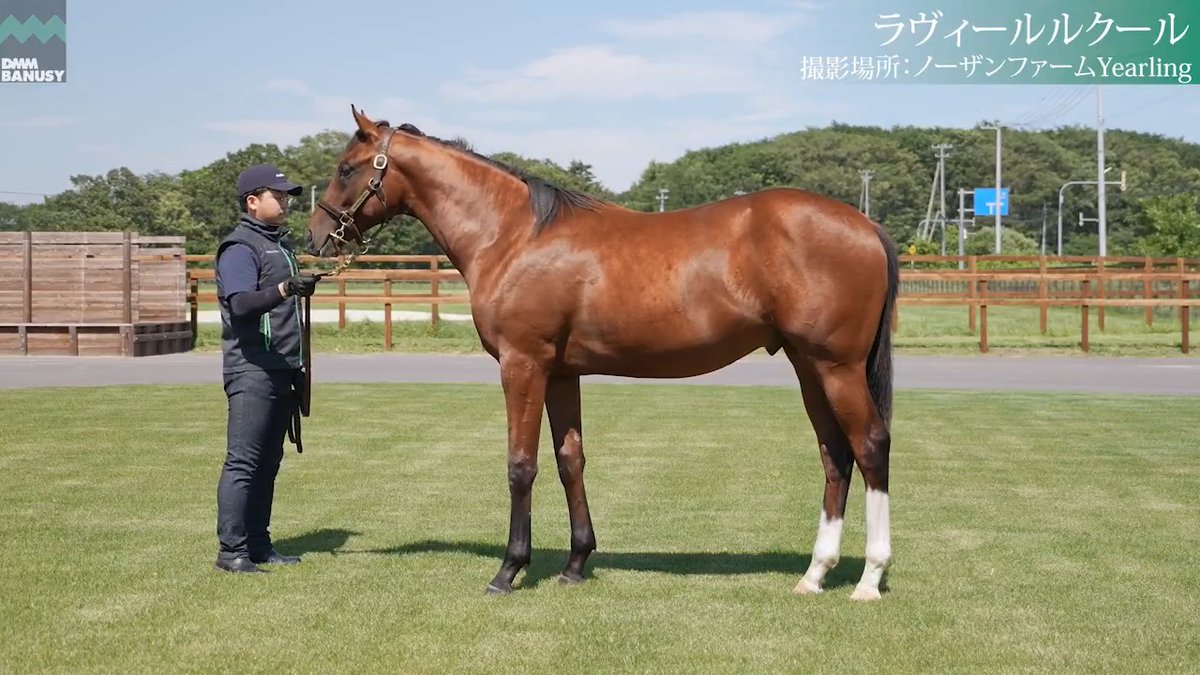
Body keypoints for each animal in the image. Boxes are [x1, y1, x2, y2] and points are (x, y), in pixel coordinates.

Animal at [306, 106, 900, 601]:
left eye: (345, 168)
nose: (315, 236)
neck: (515, 236)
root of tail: (866, 224)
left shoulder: (523, 365)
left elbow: (521, 465)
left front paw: (508, 570)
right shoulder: (561, 373)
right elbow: (571, 460)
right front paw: (575, 564)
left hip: (837, 368)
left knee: (870, 447)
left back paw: (869, 579)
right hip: (808, 367)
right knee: (835, 456)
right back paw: (814, 574)